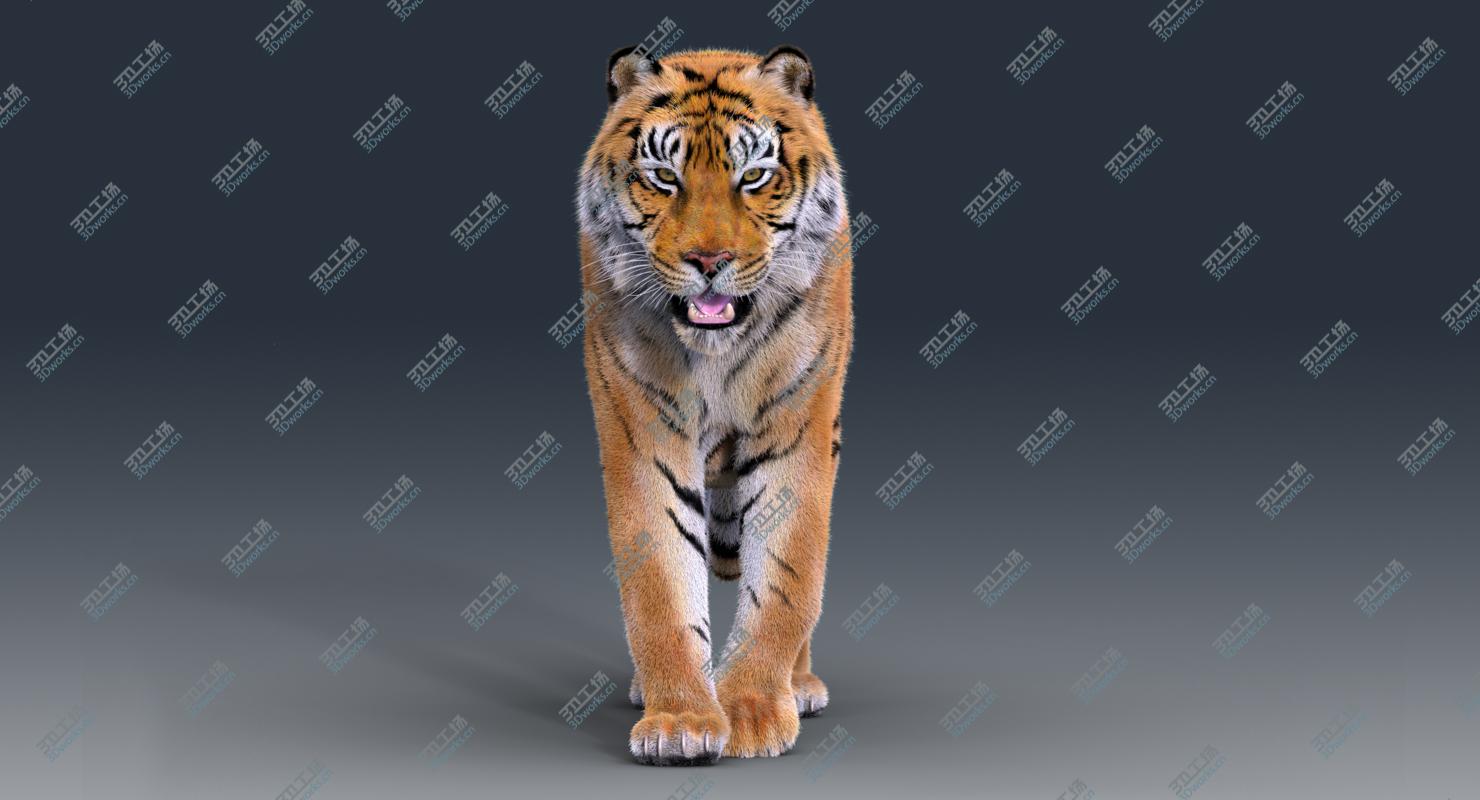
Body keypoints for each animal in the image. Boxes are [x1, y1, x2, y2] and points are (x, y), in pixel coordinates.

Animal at [576, 45, 852, 765]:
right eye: (663, 176)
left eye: (752, 175)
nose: (709, 260)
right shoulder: (644, 437)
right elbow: (662, 591)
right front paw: (681, 720)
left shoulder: (797, 439)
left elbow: (786, 580)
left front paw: (752, 710)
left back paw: (799, 686)